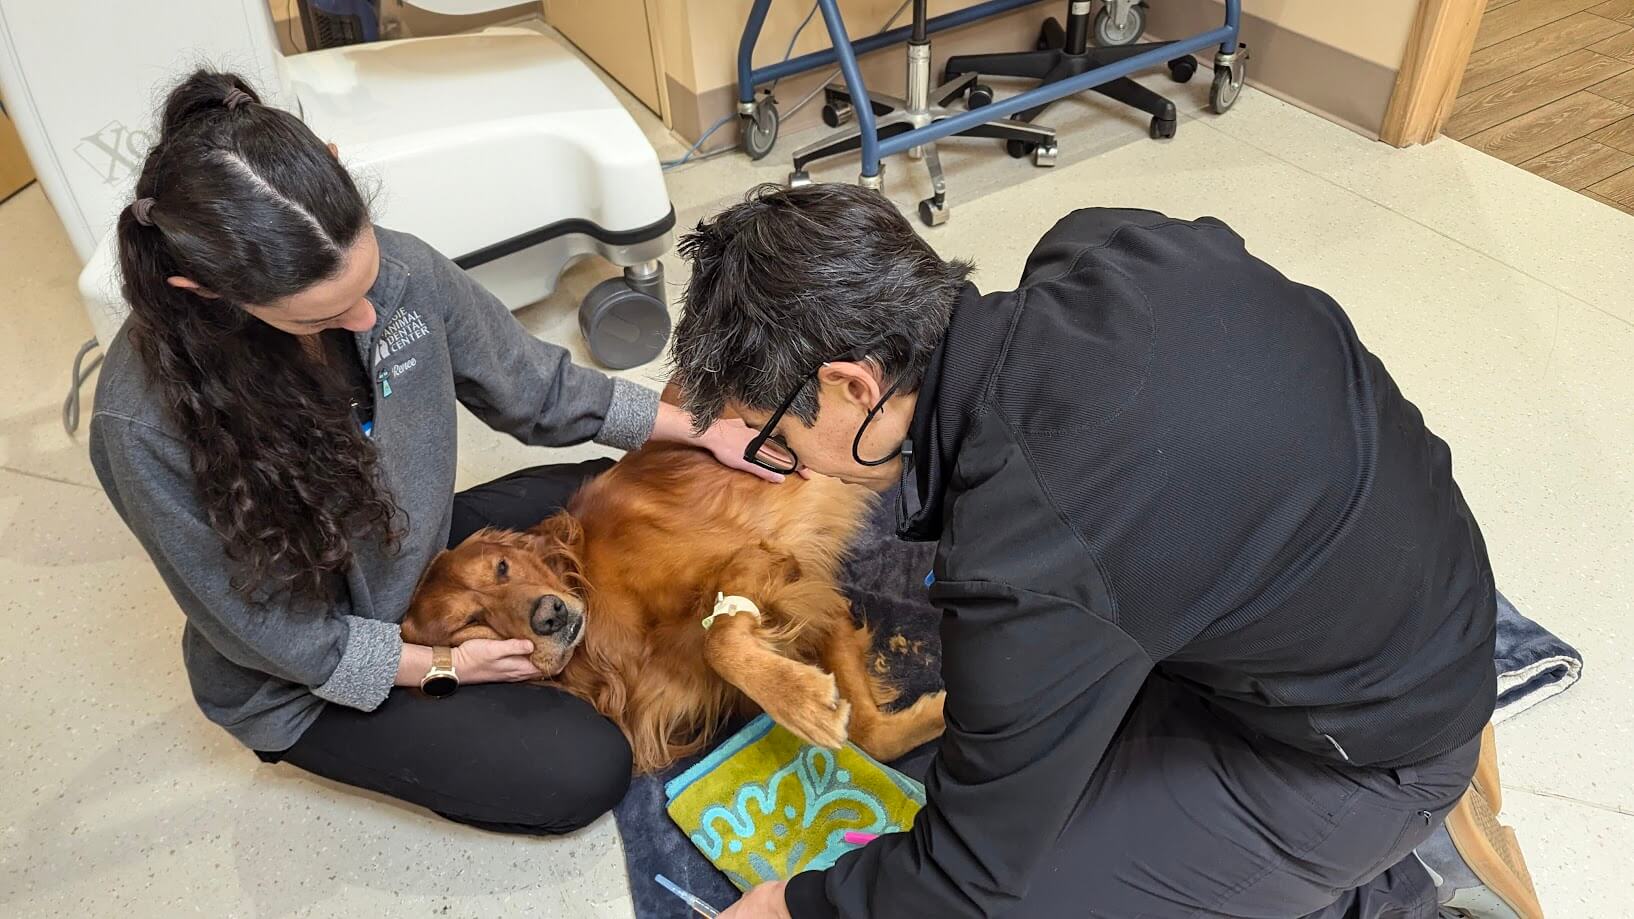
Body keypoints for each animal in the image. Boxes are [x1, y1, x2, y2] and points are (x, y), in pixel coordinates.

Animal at [401, 441, 954, 768]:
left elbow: (719, 641)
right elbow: (869, 734)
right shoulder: (813, 603)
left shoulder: (770, 563)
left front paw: (800, 701)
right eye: (471, 623)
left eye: (502, 567)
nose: (550, 615)